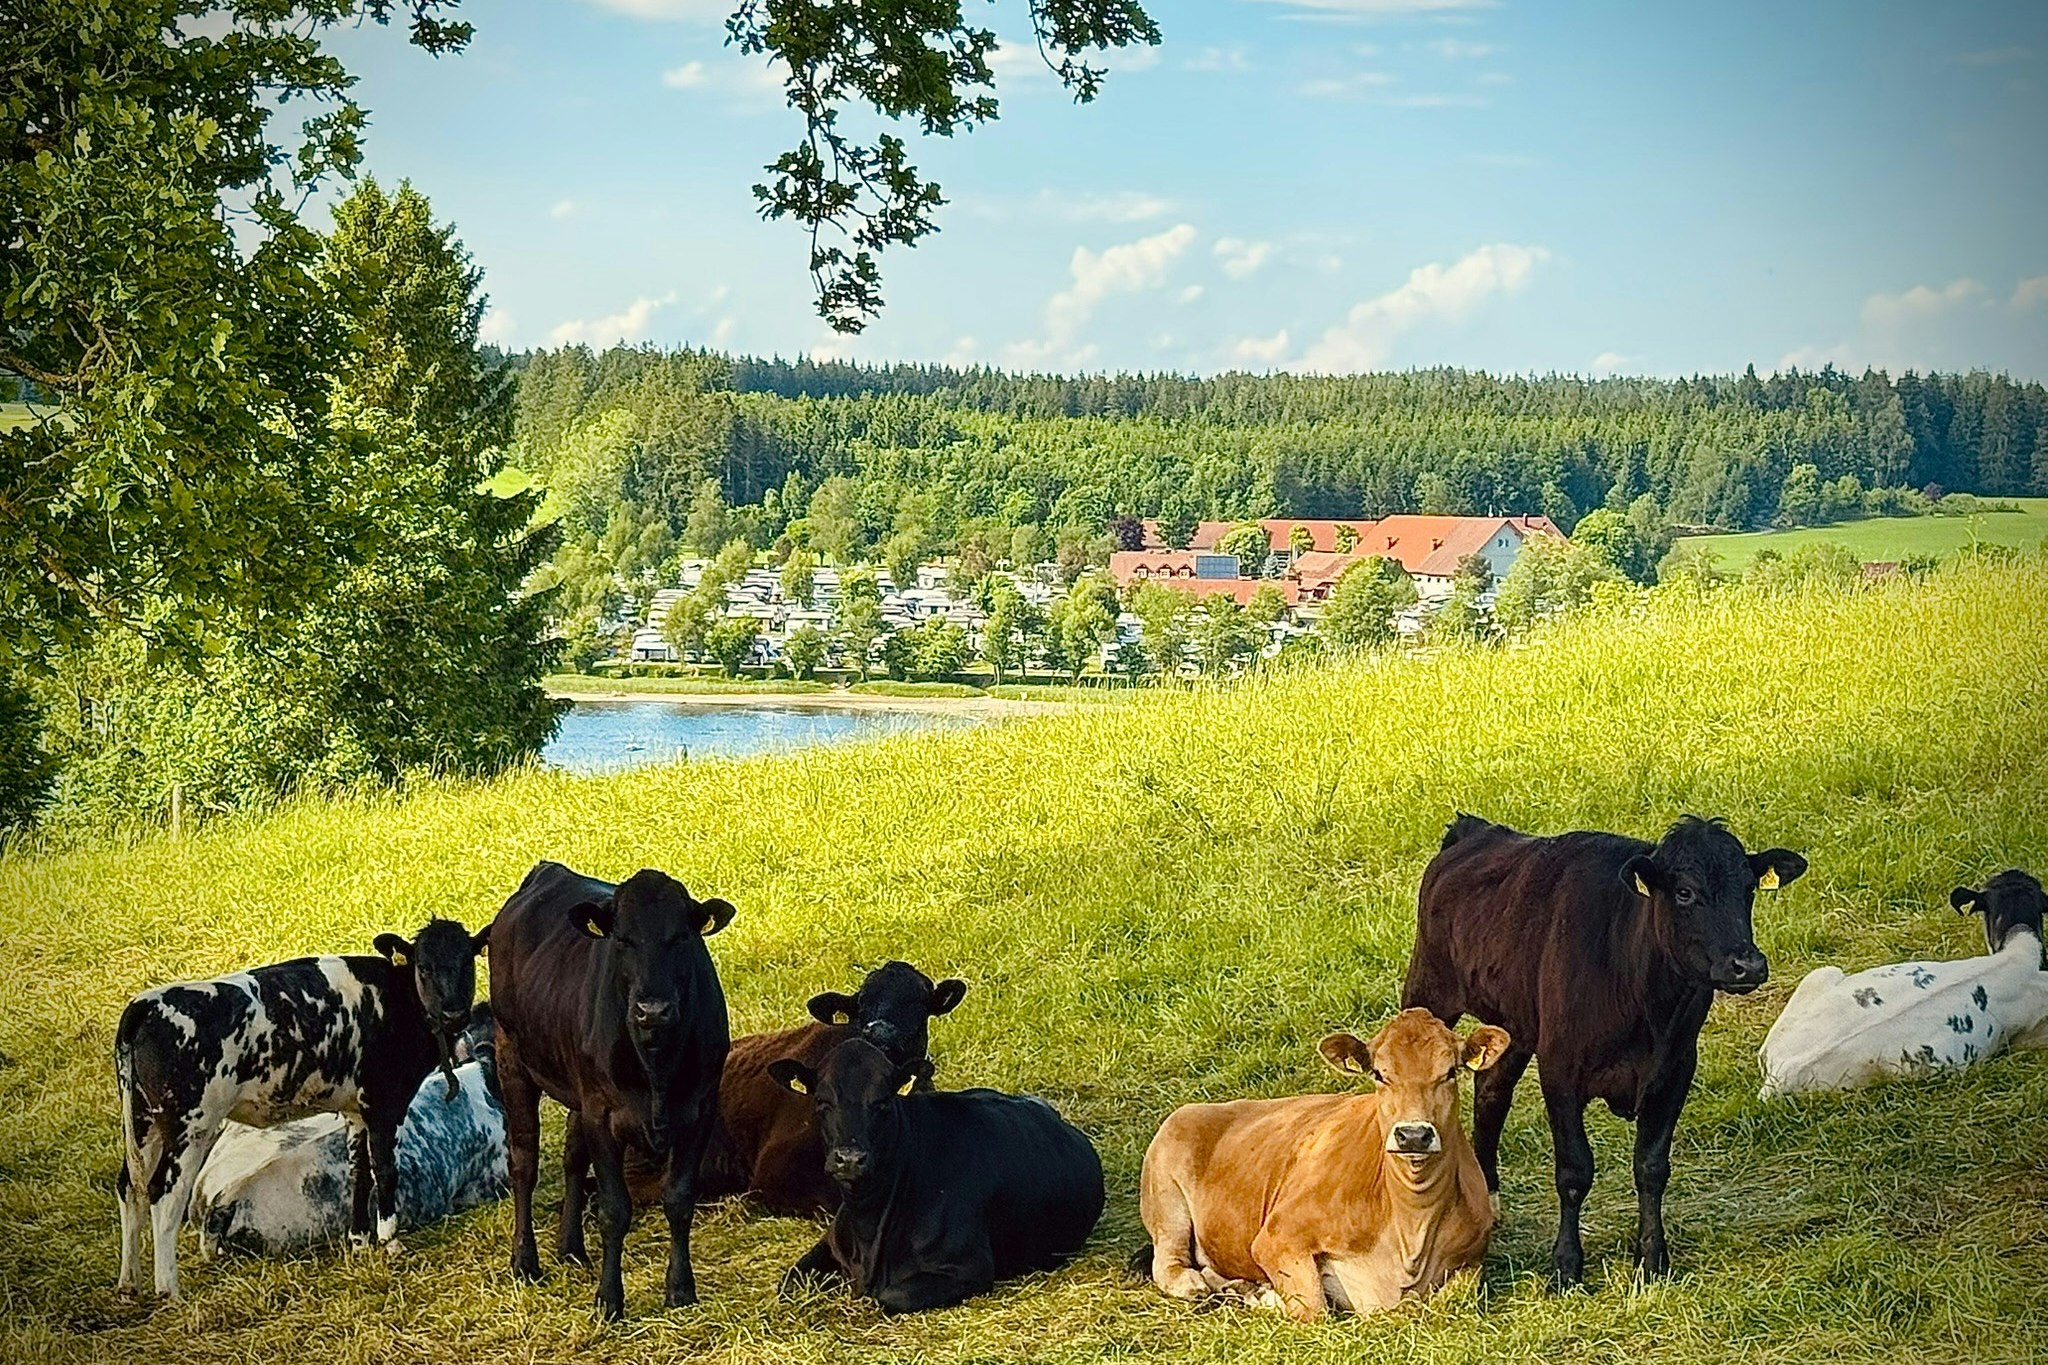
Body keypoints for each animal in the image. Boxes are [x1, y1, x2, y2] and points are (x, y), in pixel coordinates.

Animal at [489, 860, 734, 1320]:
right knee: (524, 1163)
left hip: (575, 1089)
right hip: (511, 1058)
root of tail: (547, 871)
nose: (652, 1009)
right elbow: (614, 1210)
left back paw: (570, 1248)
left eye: (681, 937)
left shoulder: (700, 1110)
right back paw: (525, 1261)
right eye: (623, 939)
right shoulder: (603, 1116)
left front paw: (680, 1289)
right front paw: (609, 1299)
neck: (656, 1063)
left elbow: (679, 1199)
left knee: (571, 1157)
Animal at [770, 1038, 1103, 1314]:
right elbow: (790, 1281)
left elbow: (890, 1296)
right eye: (822, 1102)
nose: (850, 1159)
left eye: (882, 1102)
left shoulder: (968, 1267)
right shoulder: (830, 1243)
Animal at [1132, 1009, 1511, 1322]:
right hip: (1166, 1193)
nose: (1414, 1135)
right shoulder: (1276, 1236)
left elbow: (1456, 1296)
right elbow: (1314, 1308)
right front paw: (1267, 1298)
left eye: (1450, 1072)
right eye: (1379, 1074)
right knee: (1169, 1262)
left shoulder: (1474, 1255)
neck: (1411, 1226)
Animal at [1401, 814, 1807, 1286]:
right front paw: (1566, 1266)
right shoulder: (1560, 1067)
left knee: (1491, 1090)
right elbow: (1574, 1171)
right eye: (1684, 892)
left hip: (1517, 1024)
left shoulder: (1676, 1069)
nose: (1747, 964)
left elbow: (1652, 1167)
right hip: (1429, 987)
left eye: (1749, 889)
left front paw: (1652, 1259)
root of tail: (1475, 829)